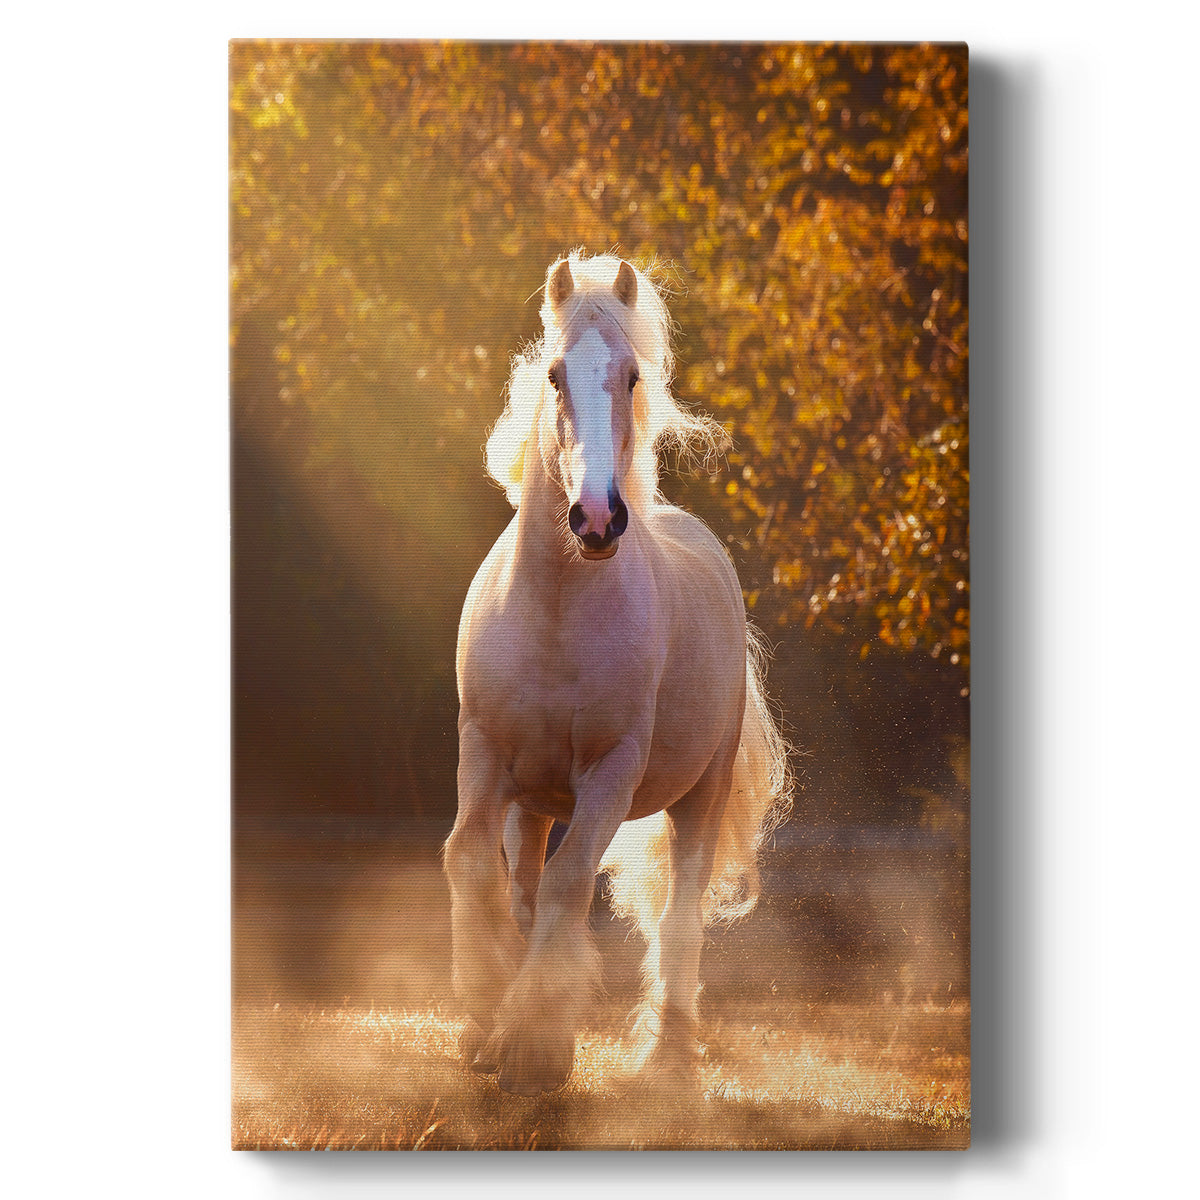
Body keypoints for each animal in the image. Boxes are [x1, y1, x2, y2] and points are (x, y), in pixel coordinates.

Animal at [443, 252, 791, 1097]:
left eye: (632, 376)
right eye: (556, 374)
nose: (597, 520)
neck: (557, 607)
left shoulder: (610, 771)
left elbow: (571, 882)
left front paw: (535, 1048)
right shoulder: (483, 752)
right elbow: (470, 861)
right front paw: (484, 1019)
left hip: (700, 796)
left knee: (681, 913)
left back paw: (668, 1059)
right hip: (532, 800)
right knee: (523, 884)